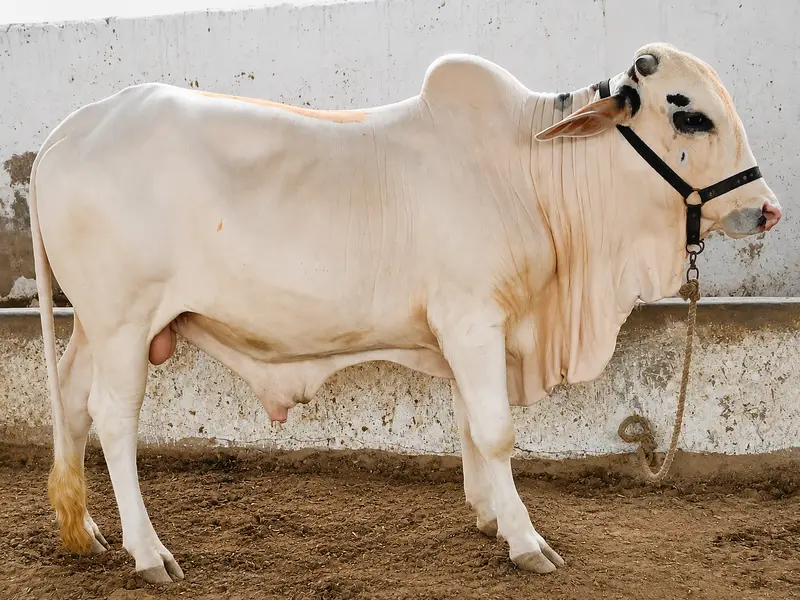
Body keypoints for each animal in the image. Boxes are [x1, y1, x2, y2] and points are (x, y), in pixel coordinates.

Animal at [28, 42, 781, 583]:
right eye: (689, 113)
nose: (767, 208)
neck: (528, 170)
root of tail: (69, 131)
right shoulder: (473, 318)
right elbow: (497, 432)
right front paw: (526, 540)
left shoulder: (466, 330)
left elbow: (470, 427)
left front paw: (489, 517)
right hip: (124, 322)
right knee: (113, 419)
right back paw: (149, 553)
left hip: (95, 326)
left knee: (70, 403)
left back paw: (84, 532)